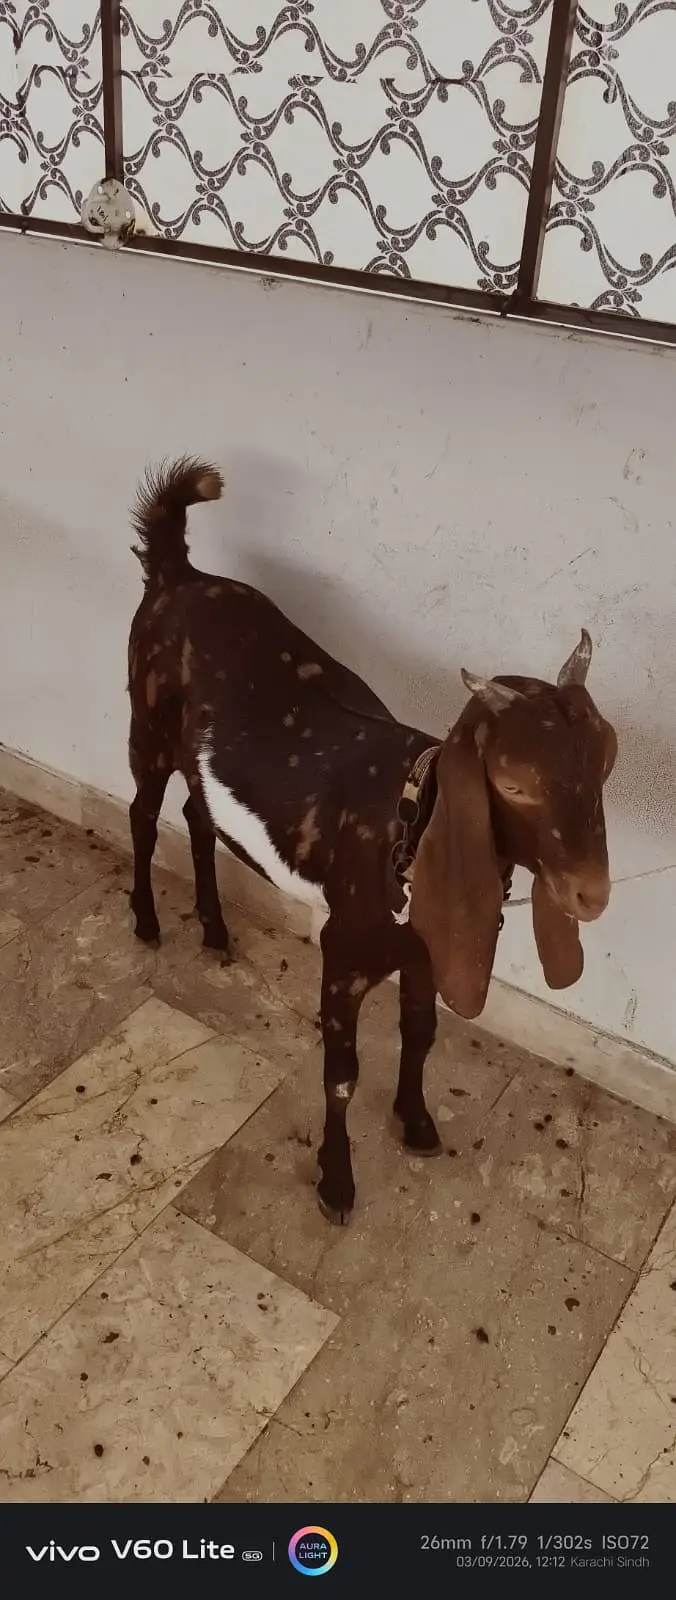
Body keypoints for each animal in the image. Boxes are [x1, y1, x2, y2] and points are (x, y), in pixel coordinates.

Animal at [127, 459, 617, 1223]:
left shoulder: (424, 952)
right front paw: (336, 1183)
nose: (590, 893)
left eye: (605, 757)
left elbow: (421, 1034)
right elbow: (341, 1077)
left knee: (197, 815)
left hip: (195, 758)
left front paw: (415, 1123)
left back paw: (214, 930)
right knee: (144, 816)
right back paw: (149, 923)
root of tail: (177, 574)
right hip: (144, 727)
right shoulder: (344, 954)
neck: (406, 830)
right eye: (512, 783)